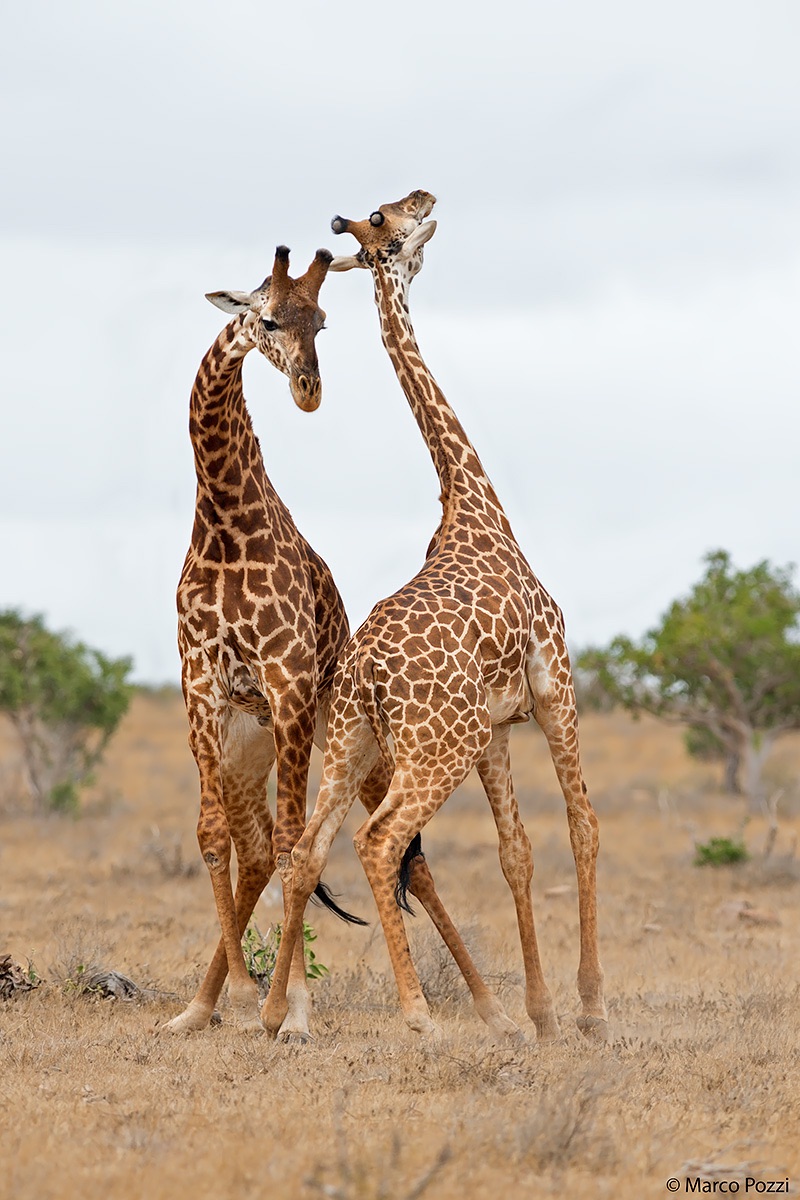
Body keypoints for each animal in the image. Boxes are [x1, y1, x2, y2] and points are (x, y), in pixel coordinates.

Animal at [167, 241, 504, 1042]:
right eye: (266, 318)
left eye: (320, 320)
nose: (308, 389)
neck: (224, 524)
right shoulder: (199, 679)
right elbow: (216, 837)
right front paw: (224, 1004)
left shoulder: (288, 681)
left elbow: (299, 847)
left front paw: (290, 1013)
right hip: (248, 746)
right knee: (258, 846)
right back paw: (211, 1001)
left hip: (354, 742)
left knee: (402, 857)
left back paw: (490, 1005)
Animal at [262, 192, 609, 1045]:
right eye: (388, 219)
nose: (428, 199)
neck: (474, 505)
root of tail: (361, 675)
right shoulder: (553, 681)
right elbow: (581, 823)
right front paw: (590, 1007)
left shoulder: (497, 724)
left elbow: (515, 850)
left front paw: (540, 1014)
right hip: (433, 749)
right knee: (378, 841)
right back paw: (419, 1016)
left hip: (352, 742)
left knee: (308, 850)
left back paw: (275, 1015)